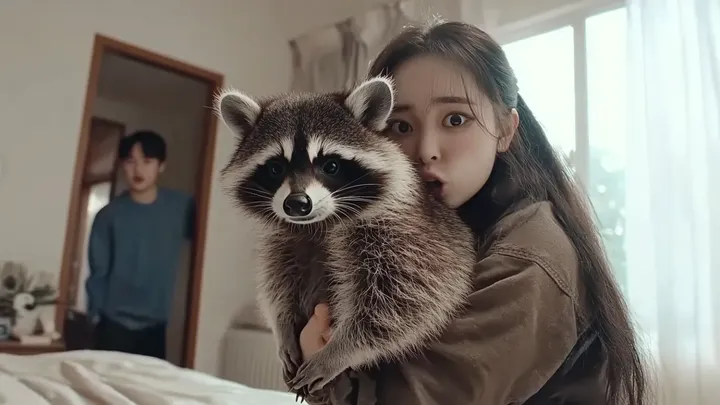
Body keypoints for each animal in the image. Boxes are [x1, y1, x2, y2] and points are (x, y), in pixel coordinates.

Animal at [215, 77, 476, 396]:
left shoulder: (410, 239)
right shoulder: (284, 240)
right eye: (275, 168)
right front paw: (282, 325)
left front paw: (341, 350)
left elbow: (405, 303)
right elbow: (278, 281)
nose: (297, 204)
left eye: (331, 165)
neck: (319, 224)